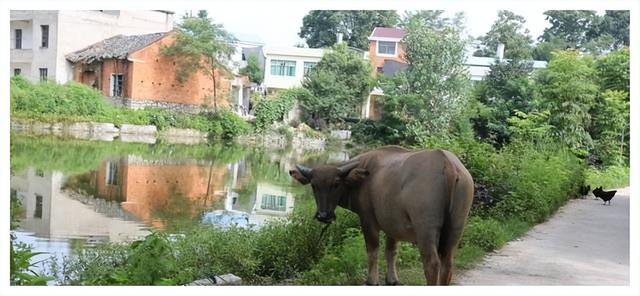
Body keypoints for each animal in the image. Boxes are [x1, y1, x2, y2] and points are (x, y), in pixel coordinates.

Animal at [290, 145, 476, 284]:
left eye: (336, 184)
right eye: (314, 185)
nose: (323, 215)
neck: (362, 178)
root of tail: (448, 164)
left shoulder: (367, 220)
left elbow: (372, 250)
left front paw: (372, 280)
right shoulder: (392, 225)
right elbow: (391, 251)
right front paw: (392, 279)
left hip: (426, 229)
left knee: (432, 263)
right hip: (456, 228)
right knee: (448, 263)